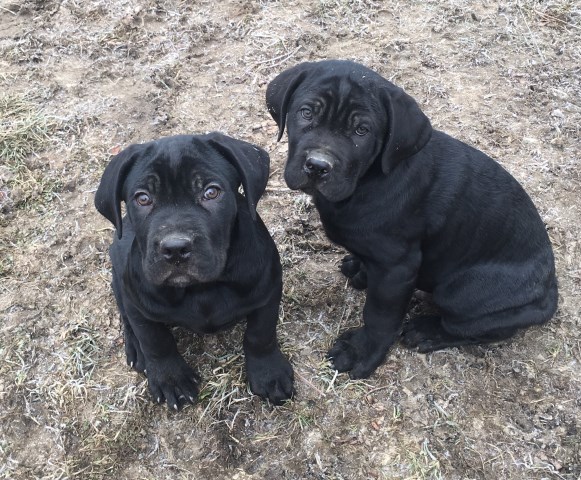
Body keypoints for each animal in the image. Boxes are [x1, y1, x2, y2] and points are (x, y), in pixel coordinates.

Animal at [96, 132, 294, 408]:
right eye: (143, 198)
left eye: (211, 192)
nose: (175, 248)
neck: (201, 288)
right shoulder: (137, 301)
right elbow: (155, 340)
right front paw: (170, 378)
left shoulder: (268, 290)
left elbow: (261, 334)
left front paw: (269, 372)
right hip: (118, 275)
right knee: (126, 315)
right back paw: (136, 349)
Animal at [266, 60, 556, 378]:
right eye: (306, 113)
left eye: (362, 130)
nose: (318, 166)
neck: (366, 182)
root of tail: (550, 290)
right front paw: (360, 270)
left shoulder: (397, 268)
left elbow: (379, 315)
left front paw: (361, 353)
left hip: (459, 292)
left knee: (480, 329)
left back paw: (427, 331)